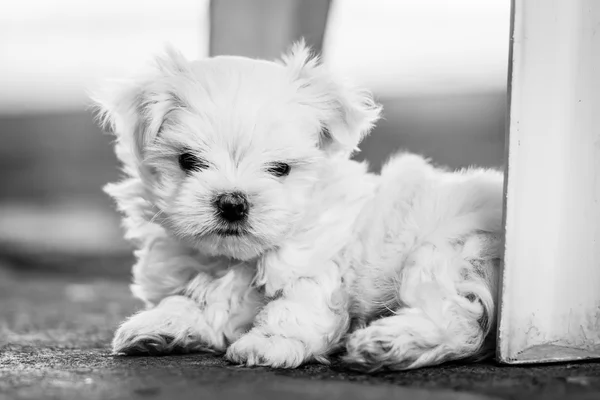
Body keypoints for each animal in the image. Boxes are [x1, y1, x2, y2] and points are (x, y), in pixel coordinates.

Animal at [94, 43, 504, 372]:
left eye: (281, 169)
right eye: (188, 161)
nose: (232, 202)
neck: (235, 259)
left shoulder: (319, 267)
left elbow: (296, 305)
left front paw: (268, 344)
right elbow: (191, 302)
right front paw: (157, 326)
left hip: (445, 251)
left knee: (458, 319)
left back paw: (385, 344)